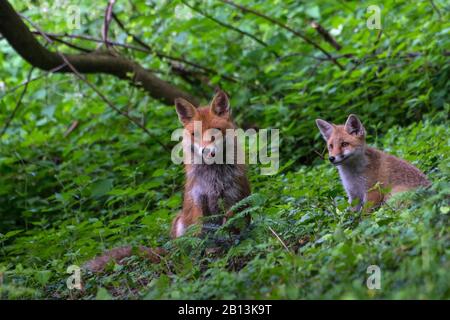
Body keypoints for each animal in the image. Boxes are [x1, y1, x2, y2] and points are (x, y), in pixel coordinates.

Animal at [84, 90, 250, 272]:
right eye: (195, 134)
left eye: (216, 131)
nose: (207, 152)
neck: (213, 177)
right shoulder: (199, 199)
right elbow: (201, 234)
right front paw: (209, 253)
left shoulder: (232, 199)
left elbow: (229, 229)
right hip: (179, 222)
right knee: (182, 251)